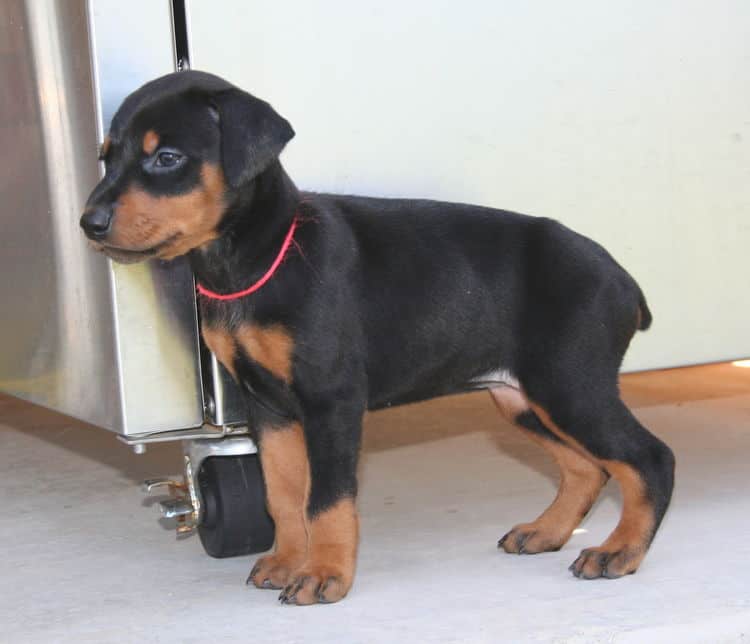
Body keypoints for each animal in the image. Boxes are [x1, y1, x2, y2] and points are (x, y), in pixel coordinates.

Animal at [81, 70, 676, 604]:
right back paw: (546, 532)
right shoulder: (266, 407)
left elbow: (327, 499)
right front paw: (285, 560)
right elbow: (283, 492)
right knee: (587, 467)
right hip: (522, 397)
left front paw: (324, 574)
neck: (258, 258)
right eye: (108, 156)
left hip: (569, 384)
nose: (89, 223)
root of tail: (622, 279)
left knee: (649, 459)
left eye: (167, 158)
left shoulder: (331, 401)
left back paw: (619, 552)